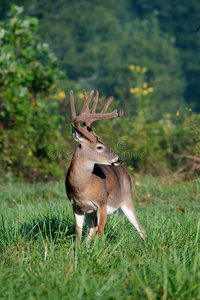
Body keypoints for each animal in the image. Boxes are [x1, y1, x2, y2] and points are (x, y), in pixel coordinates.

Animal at [66, 90, 147, 243]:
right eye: (99, 147)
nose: (119, 158)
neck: (81, 188)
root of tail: (126, 173)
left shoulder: (101, 203)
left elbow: (101, 232)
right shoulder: (76, 206)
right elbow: (79, 232)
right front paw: (78, 248)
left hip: (126, 199)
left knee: (141, 228)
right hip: (91, 212)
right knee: (91, 231)